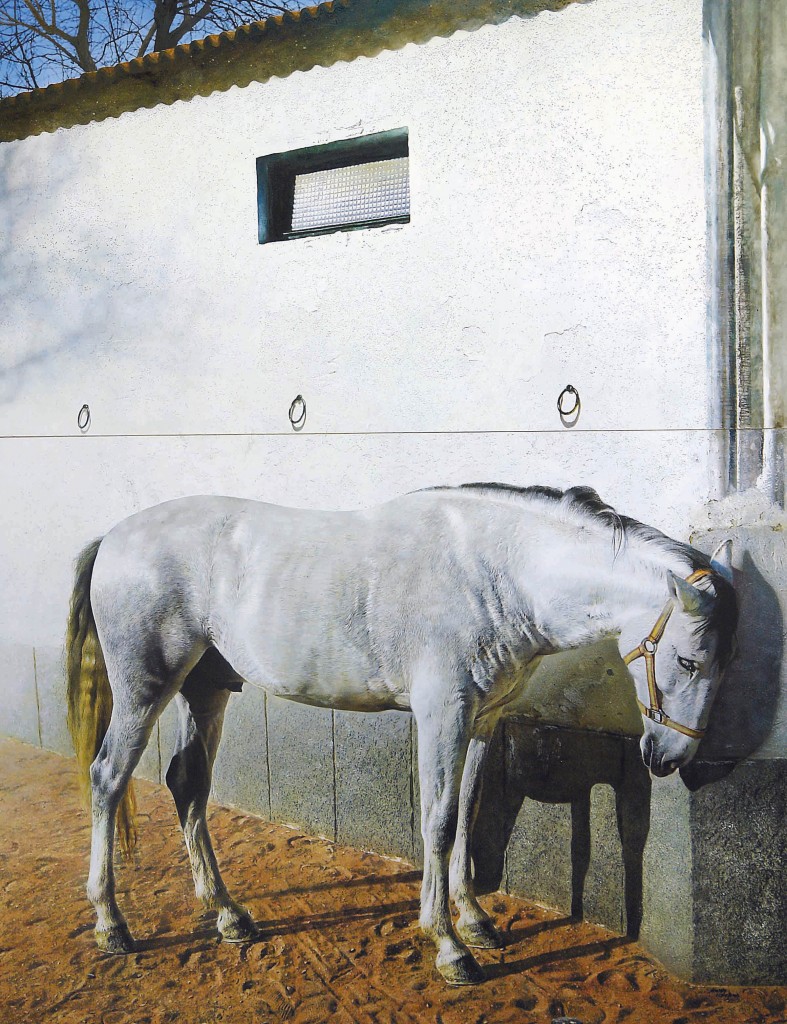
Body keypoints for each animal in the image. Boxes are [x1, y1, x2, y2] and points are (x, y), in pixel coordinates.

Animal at [65, 483, 737, 986]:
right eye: (687, 662)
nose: (673, 757)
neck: (495, 571)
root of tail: (112, 538)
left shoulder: (483, 720)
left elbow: (469, 811)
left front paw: (476, 921)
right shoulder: (443, 713)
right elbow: (438, 821)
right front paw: (449, 946)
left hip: (204, 690)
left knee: (188, 785)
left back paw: (228, 915)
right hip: (145, 689)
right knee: (108, 779)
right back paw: (111, 925)